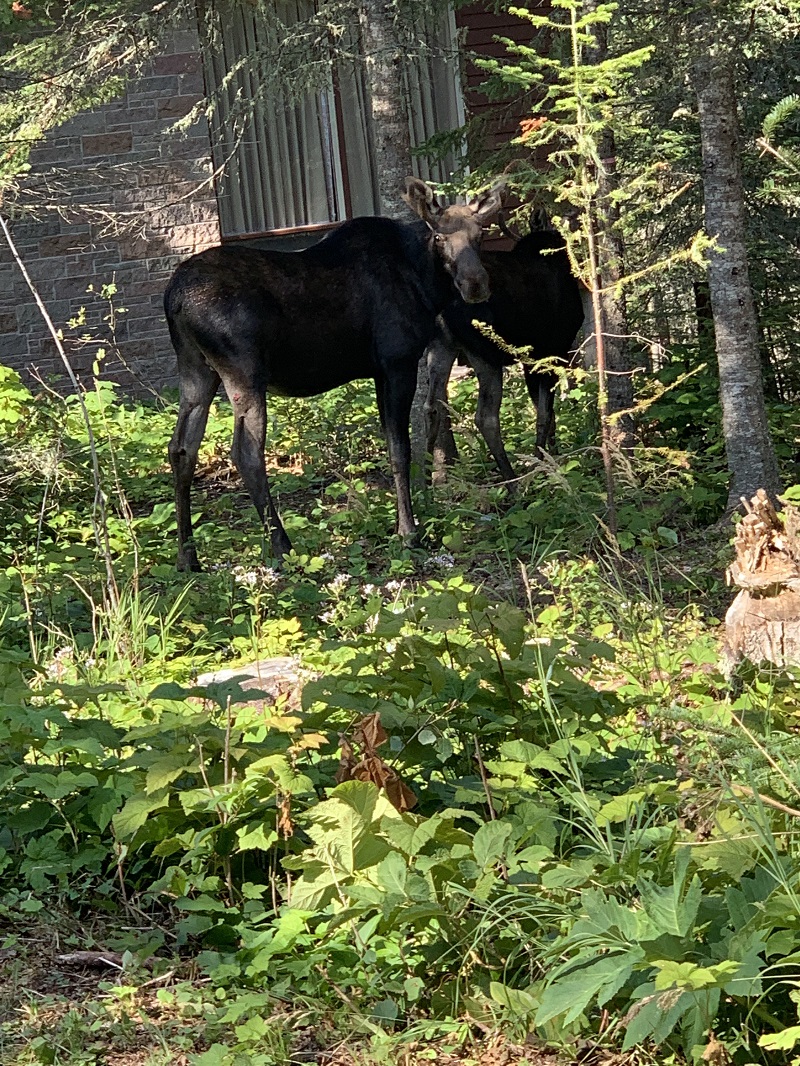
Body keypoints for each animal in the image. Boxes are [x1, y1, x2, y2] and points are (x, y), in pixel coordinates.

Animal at [163, 179, 503, 571]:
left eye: (481, 233)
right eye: (438, 236)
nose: (475, 283)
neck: (425, 284)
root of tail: (174, 299)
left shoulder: (381, 370)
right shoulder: (397, 361)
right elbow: (400, 449)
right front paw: (408, 532)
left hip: (196, 369)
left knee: (181, 449)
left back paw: (187, 557)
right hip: (243, 371)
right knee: (246, 452)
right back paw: (282, 547)